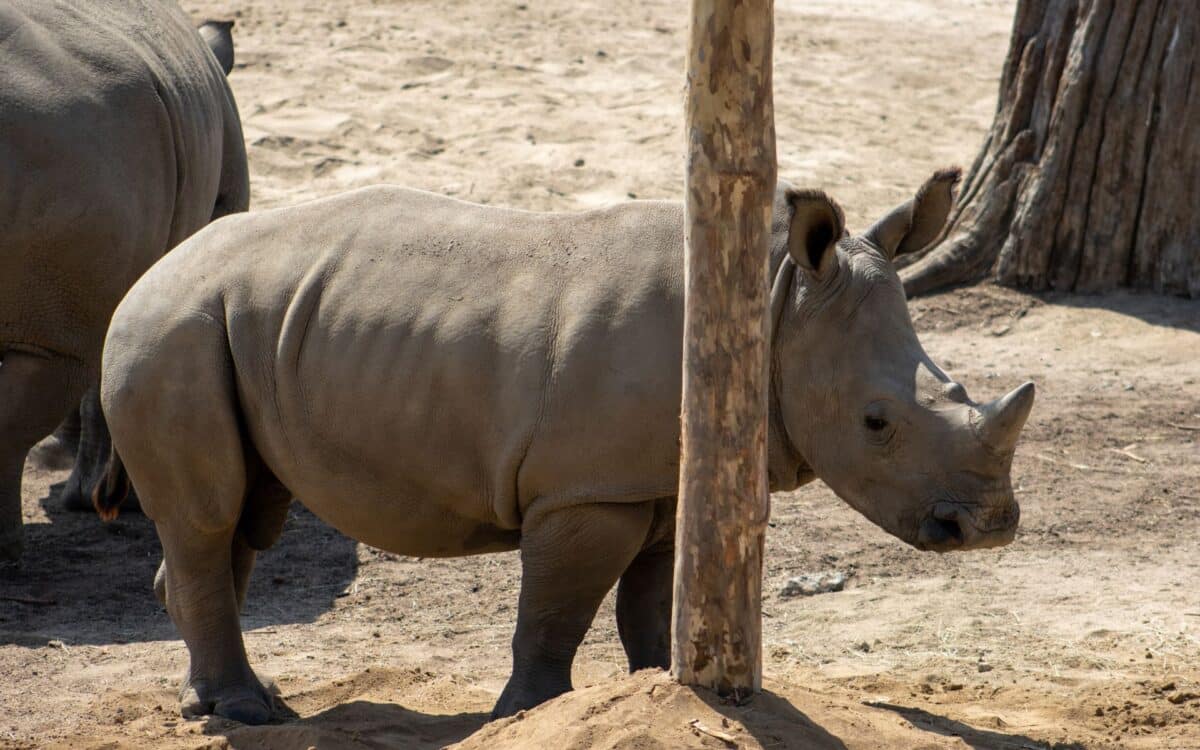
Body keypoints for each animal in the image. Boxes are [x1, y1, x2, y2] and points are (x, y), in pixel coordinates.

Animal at [97, 169, 1034, 724]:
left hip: (229, 326)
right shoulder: (588, 487)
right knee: (213, 515)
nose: (989, 529)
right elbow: (558, 608)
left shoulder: (660, 477)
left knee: (245, 515)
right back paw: (245, 713)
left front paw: (666, 685)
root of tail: (147, 272)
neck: (774, 304)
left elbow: (653, 600)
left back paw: (229, 703)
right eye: (877, 423)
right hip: (171, 331)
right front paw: (525, 714)